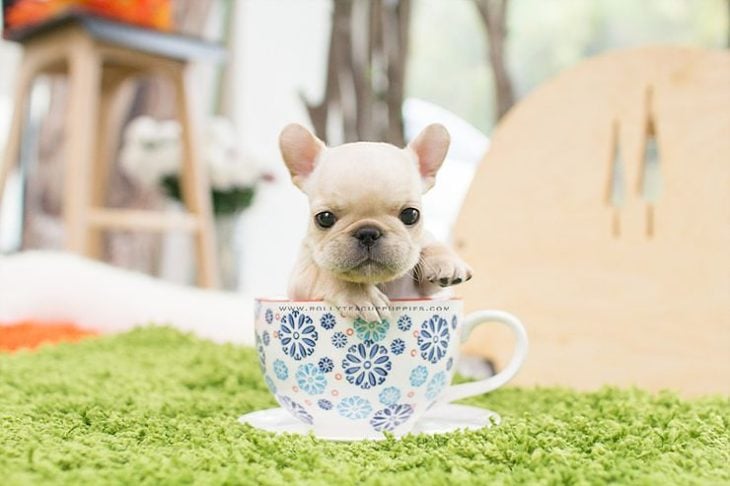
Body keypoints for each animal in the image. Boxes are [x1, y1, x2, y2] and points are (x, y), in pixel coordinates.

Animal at [276, 124, 470, 322]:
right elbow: (325, 274)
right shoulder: (301, 277)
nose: (368, 232)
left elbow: (429, 246)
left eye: (411, 215)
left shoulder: (422, 290)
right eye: (324, 218)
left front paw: (445, 260)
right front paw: (361, 296)